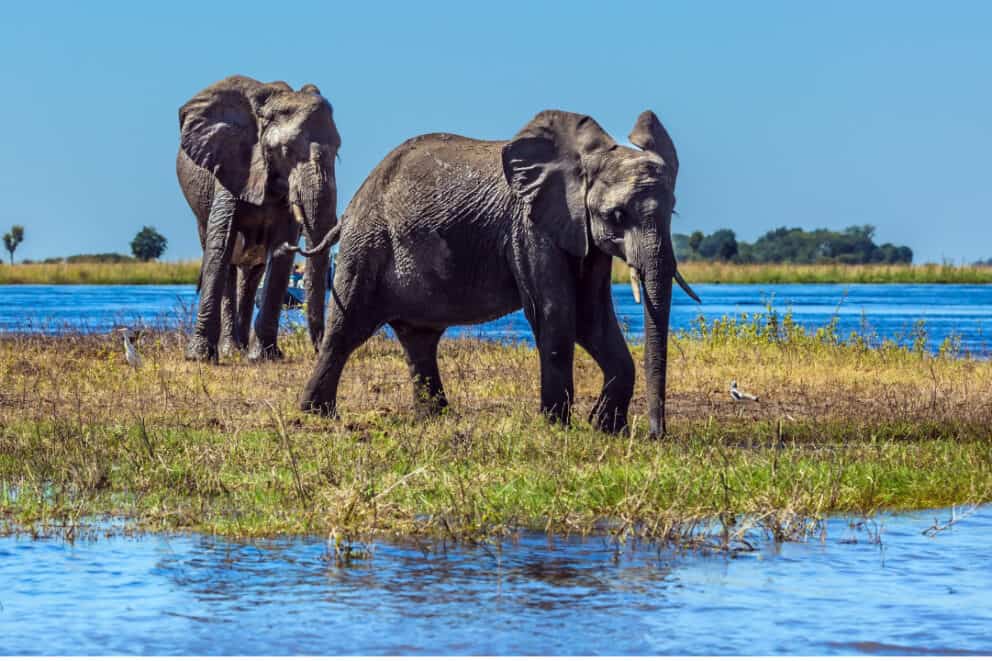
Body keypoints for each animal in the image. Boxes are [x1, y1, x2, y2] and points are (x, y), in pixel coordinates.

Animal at [176, 75, 340, 362]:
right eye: (286, 150)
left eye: (338, 150)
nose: (319, 349)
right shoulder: (231, 164)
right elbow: (221, 245)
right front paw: (198, 357)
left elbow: (281, 252)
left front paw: (264, 357)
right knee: (228, 264)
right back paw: (231, 350)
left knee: (253, 274)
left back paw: (241, 349)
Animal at [298, 109, 699, 437]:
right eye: (617, 215)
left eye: (673, 211)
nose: (656, 435)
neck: (586, 159)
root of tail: (353, 204)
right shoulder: (528, 226)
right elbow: (556, 311)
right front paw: (556, 426)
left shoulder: (583, 234)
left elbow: (591, 316)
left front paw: (605, 428)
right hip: (366, 244)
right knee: (345, 330)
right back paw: (316, 415)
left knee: (419, 339)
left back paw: (435, 418)